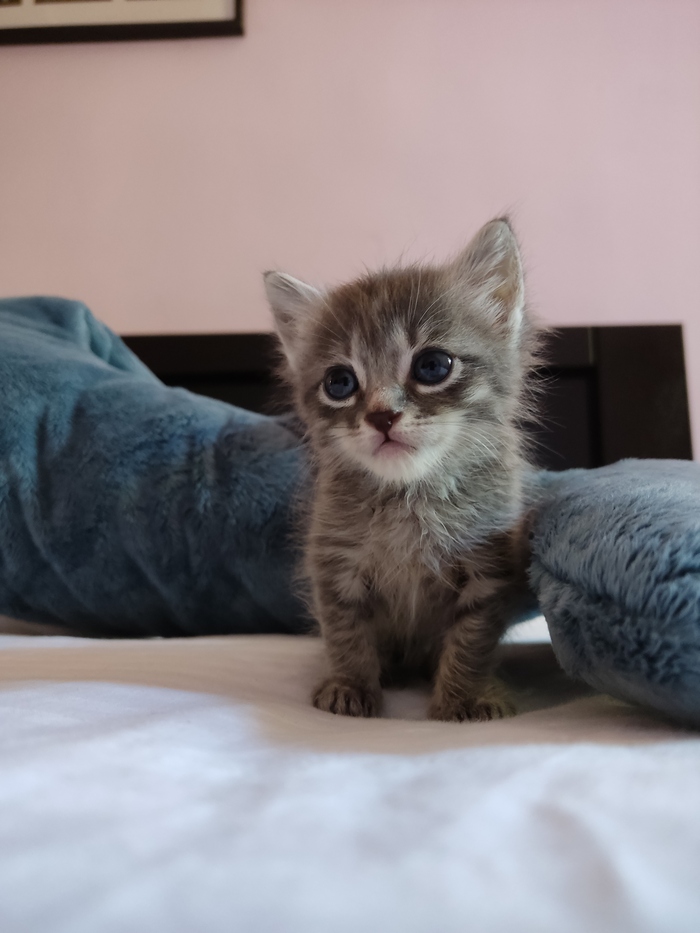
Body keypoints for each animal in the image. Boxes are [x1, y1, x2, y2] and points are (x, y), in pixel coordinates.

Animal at [264, 218, 540, 721]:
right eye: (339, 382)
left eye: (433, 366)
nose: (382, 416)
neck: (409, 499)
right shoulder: (333, 564)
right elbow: (345, 633)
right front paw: (351, 686)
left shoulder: (488, 572)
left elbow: (472, 641)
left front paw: (463, 697)